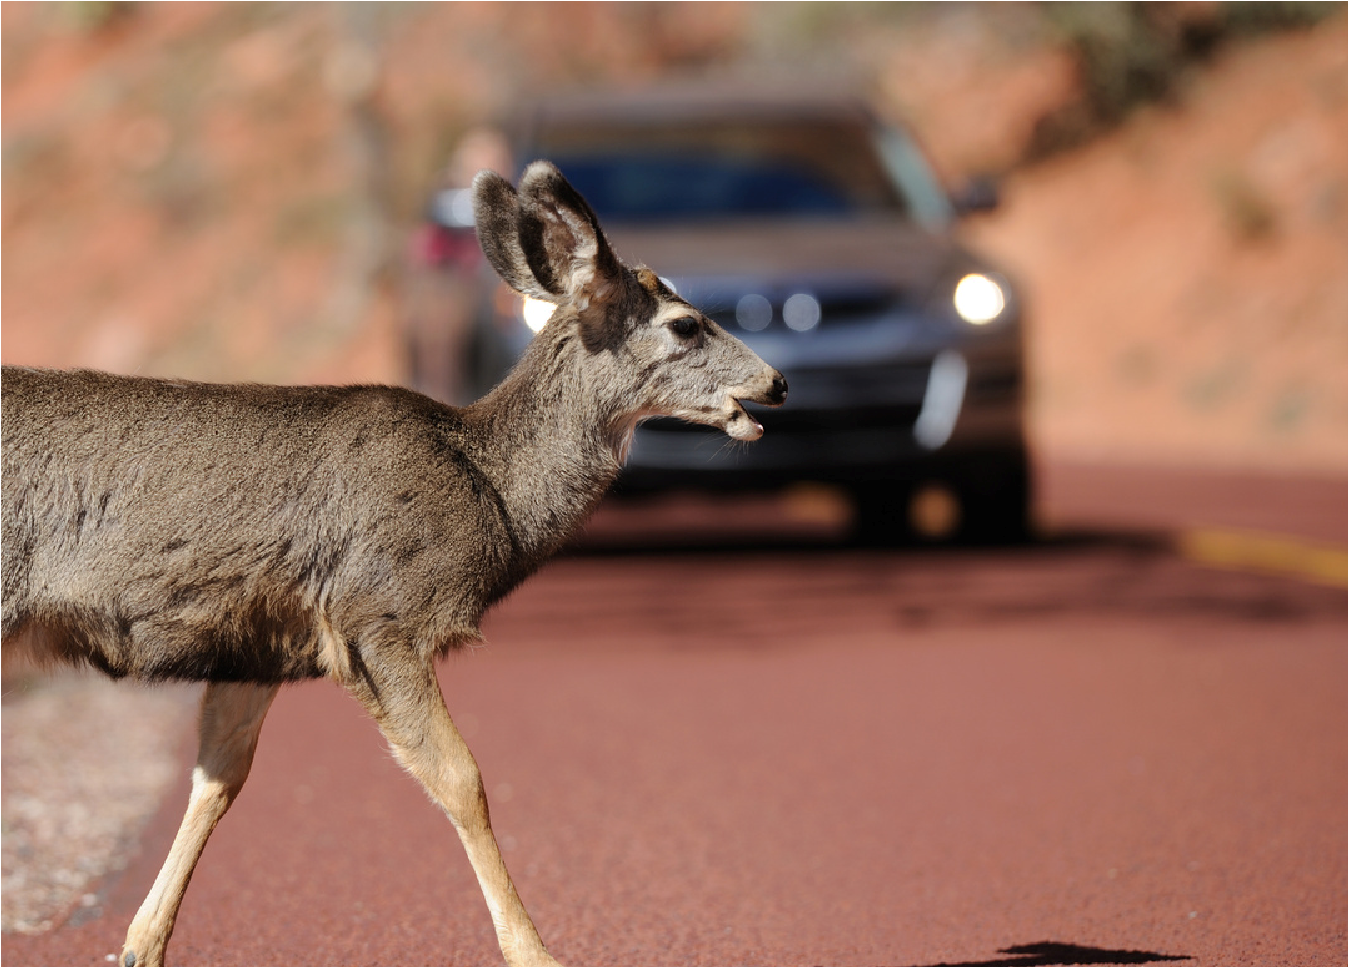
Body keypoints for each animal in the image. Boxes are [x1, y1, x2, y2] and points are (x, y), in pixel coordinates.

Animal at [0, 160, 786, 967]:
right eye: (685, 323)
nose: (776, 383)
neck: (491, 490)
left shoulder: (261, 642)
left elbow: (218, 778)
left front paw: (140, 945)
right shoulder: (379, 612)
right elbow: (461, 778)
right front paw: (534, 951)